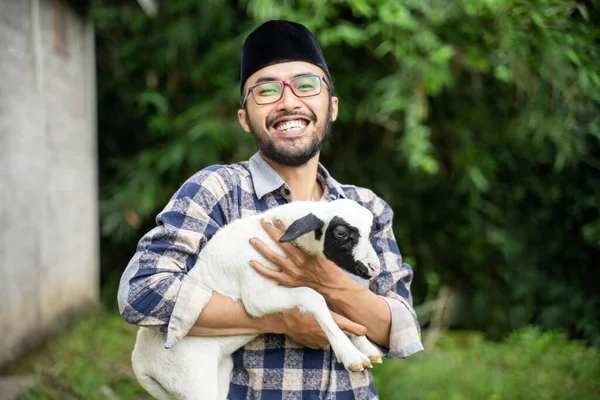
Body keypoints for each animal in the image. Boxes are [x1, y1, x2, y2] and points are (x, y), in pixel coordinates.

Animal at [132, 199, 384, 400]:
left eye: (371, 232)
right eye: (341, 233)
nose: (374, 268)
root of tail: (141, 364)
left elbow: (337, 303)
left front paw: (366, 347)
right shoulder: (257, 295)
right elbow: (312, 297)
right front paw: (351, 354)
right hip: (192, 381)